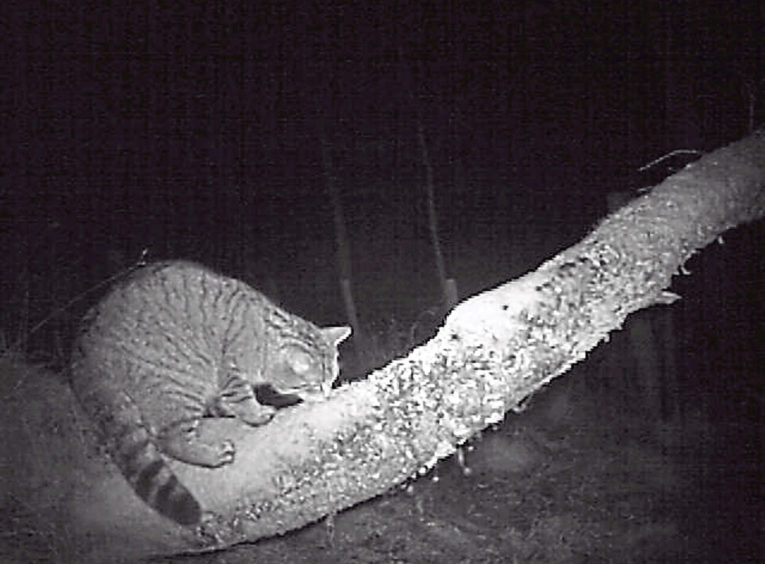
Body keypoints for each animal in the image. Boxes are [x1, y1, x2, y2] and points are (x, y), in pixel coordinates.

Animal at [70, 260, 351, 526]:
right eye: (314, 385)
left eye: (331, 380)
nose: (326, 395)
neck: (265, 337)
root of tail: (86, 355)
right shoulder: (230, 366)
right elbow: (239, 395)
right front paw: (253, 412)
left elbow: (223, 400)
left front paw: (228, 409)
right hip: (181, 378)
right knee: (169, 439)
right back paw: (207, 453)